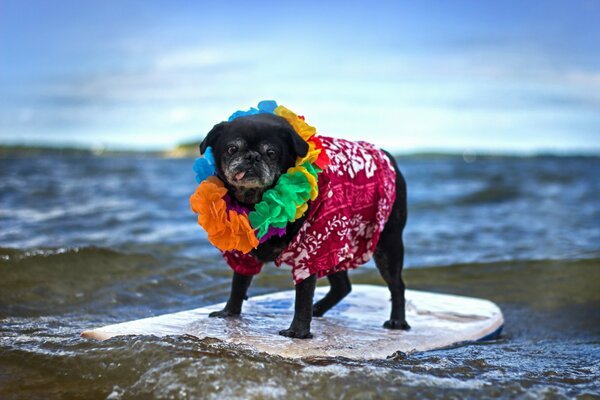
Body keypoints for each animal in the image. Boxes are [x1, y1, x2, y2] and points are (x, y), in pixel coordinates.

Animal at [199, 110, 410, 338]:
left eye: (271, 153)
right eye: (232, 149)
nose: (252, 156)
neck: (255, 201)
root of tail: (386, 156)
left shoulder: (308, 253)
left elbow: (303, 296)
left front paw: (298, 331)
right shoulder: (244, 254)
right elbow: (238, 284)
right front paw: (229, 312)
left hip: (385, 246)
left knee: (396, 285)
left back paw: (398, 321)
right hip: (333, 247)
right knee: (343, 286)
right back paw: (319, 309)